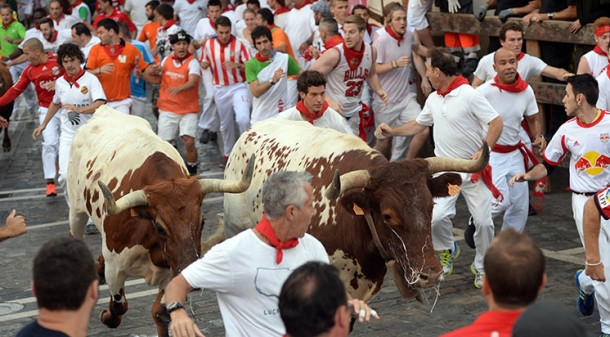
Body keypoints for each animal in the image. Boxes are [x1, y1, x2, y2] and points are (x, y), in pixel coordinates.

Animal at [67, 105, 254, 336]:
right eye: (160, 227)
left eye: (202, 222)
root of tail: (104, 109)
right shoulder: (115, 269)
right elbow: (119, 307)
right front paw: (106, 316)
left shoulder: (174, 268)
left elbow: (160, 312)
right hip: (76, 211)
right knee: (74, 234)